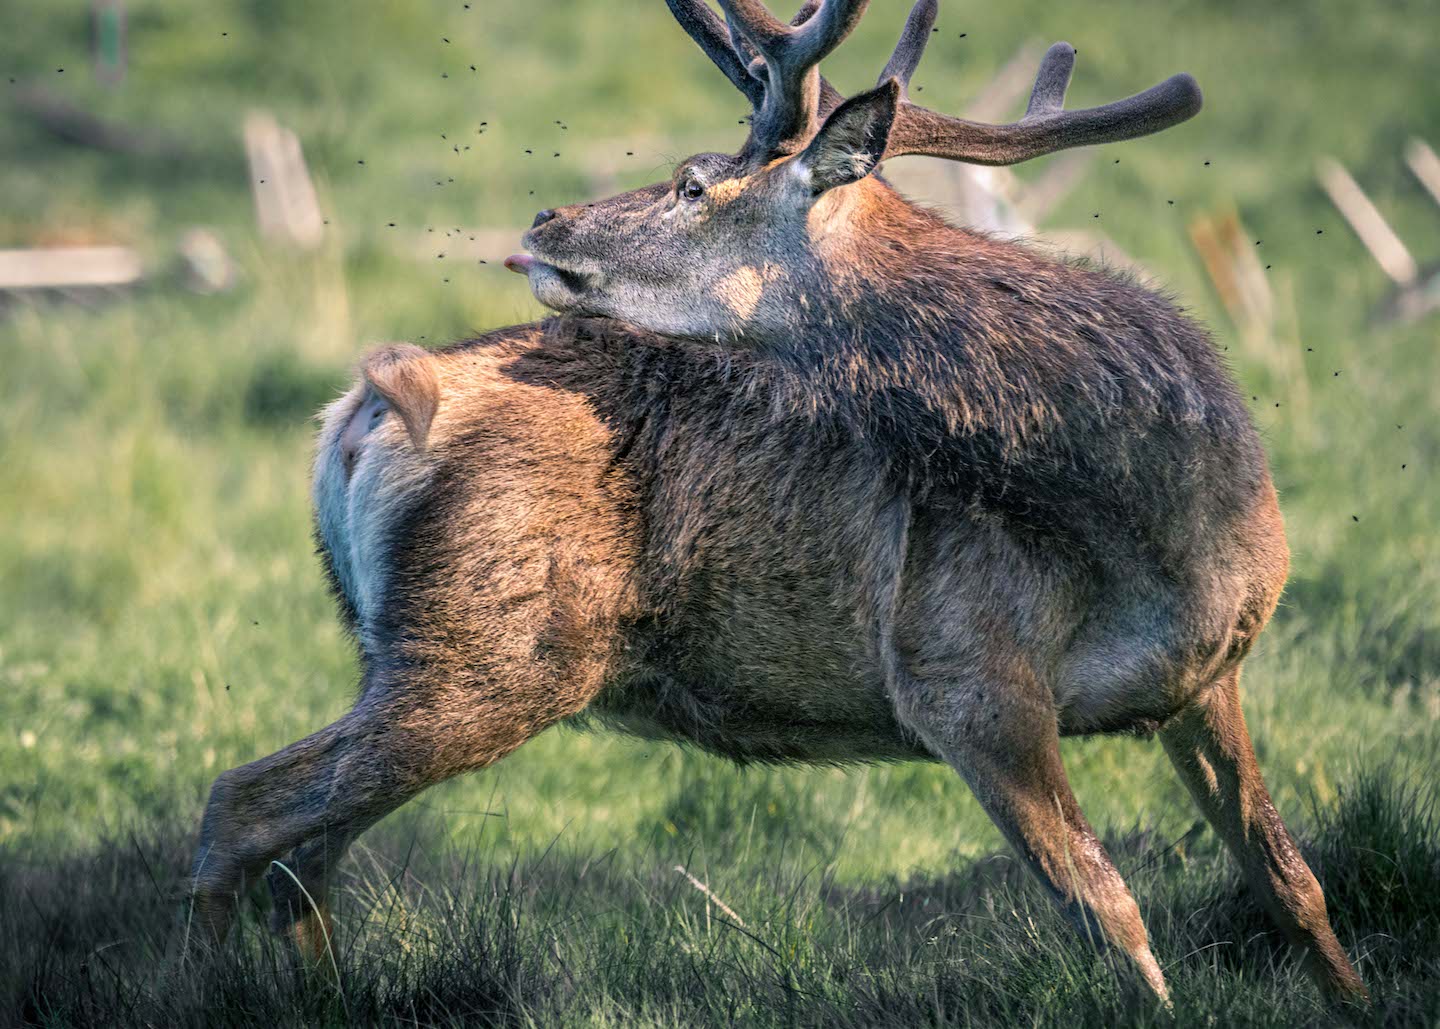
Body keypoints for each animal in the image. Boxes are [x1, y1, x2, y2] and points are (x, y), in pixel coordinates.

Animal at [189, 0, 1368, 1009]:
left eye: (692, 183)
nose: (547, 215)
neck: (1155, 519)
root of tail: (365, 407)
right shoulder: (959, 674)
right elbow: (1109, 911)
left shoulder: (1205, 678)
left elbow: (1291, 881)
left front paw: (1351, 999)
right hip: (488, 649)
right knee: (242, 807)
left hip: (418, 656)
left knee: (303, 855)